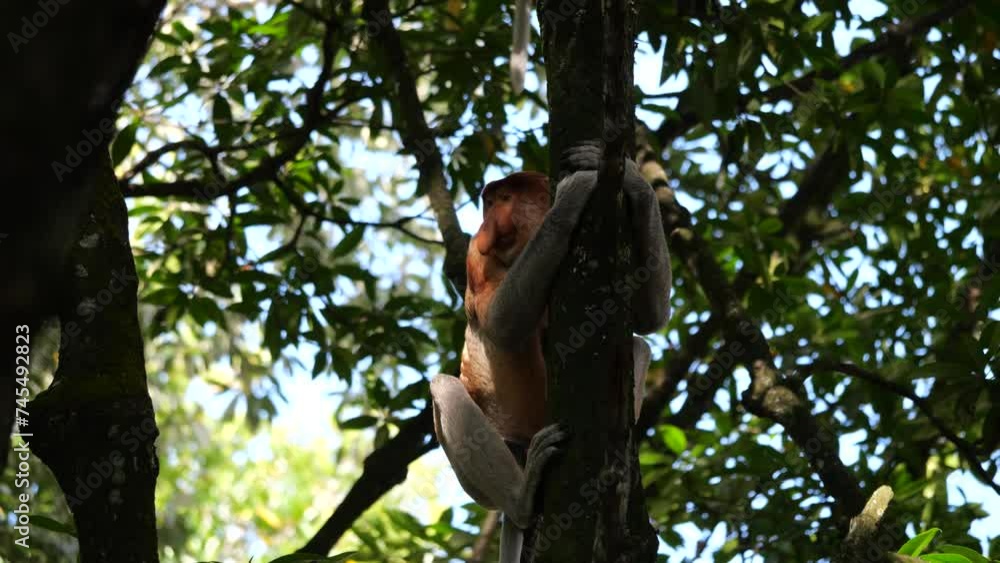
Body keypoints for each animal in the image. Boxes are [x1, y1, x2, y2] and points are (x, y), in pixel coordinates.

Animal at [430, 142, 672, 563]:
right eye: (488, 203)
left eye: (503, 200)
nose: (486, 226)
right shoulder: (477, 257)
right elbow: (502, 323)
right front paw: (573, 193)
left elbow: (648, 316)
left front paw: (631, 177)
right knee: (444, 386)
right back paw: (522, 499)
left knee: (636, 343)